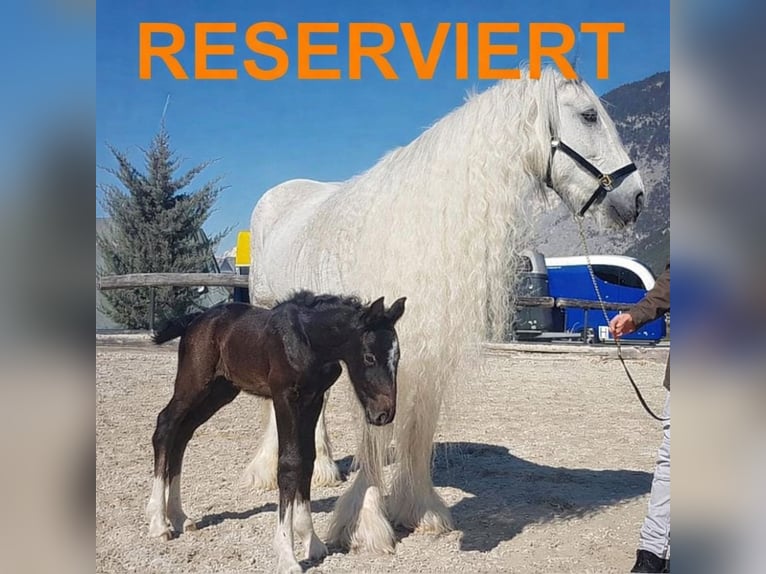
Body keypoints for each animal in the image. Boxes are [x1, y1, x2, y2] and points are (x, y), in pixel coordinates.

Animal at [145, 291, 406, 573]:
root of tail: (196, 320)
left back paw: (179, 517)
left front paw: (311, 540)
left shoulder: (313, 399)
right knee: (165, 426)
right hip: (193, 383)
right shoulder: (285, 397)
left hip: (220, 391)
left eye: (397, 358)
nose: (384, 414)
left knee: (183, 434)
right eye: (369, 357)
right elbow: (289, 463)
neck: (309, 341)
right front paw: (287, 555)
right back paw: (159, 523)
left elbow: (307, 460)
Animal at [245, 67, 646, 553]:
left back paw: (322, 467)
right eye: (589, 115)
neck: (421, 227)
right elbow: (375, 434)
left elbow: (420, 426)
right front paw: (365, 524)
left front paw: (419, 509)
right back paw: (268, 469)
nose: (637, 198)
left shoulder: (425, 348)